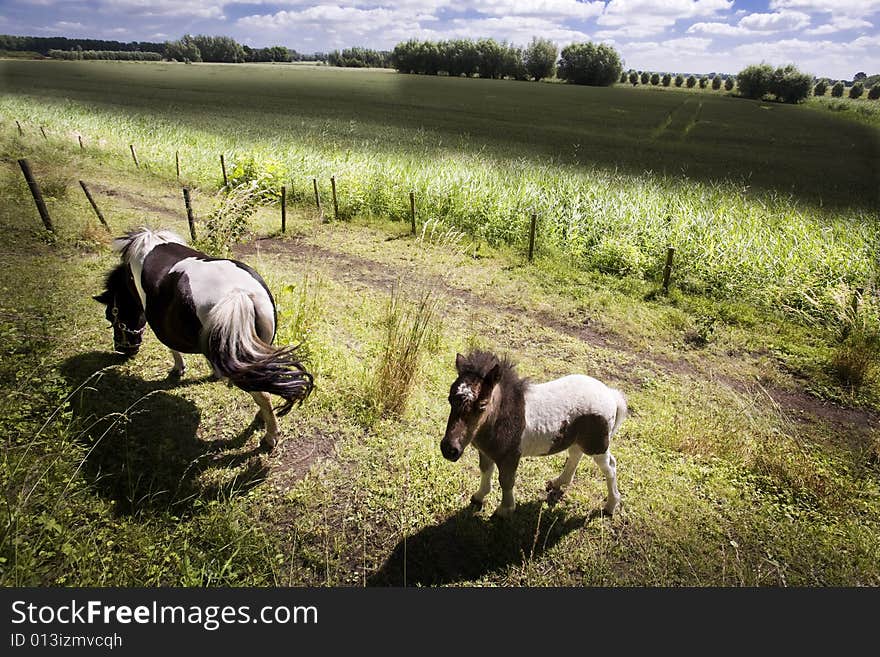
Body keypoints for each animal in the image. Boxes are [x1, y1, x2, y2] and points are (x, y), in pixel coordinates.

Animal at [92, 228, 312, 448]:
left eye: (111, 315)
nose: (123, 350)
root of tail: (238, 294)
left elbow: (171, 347)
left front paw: (179, 369)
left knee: (263, 394)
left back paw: (270, 436)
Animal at [440, 348, 624, 516]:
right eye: (449, 399)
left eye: (482, 405)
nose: (449, 449)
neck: (503, 416)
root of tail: (611, 394)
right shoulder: (486, 452)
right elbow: (486, 470)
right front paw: (478, 497)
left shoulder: (510, 457)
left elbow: (506, 481)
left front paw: (504, 510)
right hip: (578, 439)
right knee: (575, 454)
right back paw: (558, 483)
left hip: (597, 445)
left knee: (610, 466)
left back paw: (611, 506)